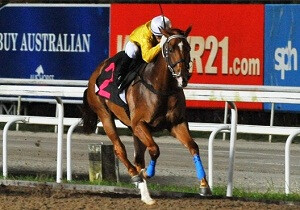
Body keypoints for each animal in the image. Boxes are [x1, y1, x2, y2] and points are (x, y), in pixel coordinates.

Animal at [81, 25, 210, 203]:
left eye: (188, 48)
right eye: (170, 48)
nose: (183, 76)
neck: (161, 87)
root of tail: (96, 72)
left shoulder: (176, 123)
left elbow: (193, 147)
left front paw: (204, 185)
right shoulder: (140, 123)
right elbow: (155, 149)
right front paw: (148, 173)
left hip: (132, 128)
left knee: (138, 158)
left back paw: (145, 194)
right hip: (105, 115)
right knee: (119, 149)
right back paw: (136, 175)